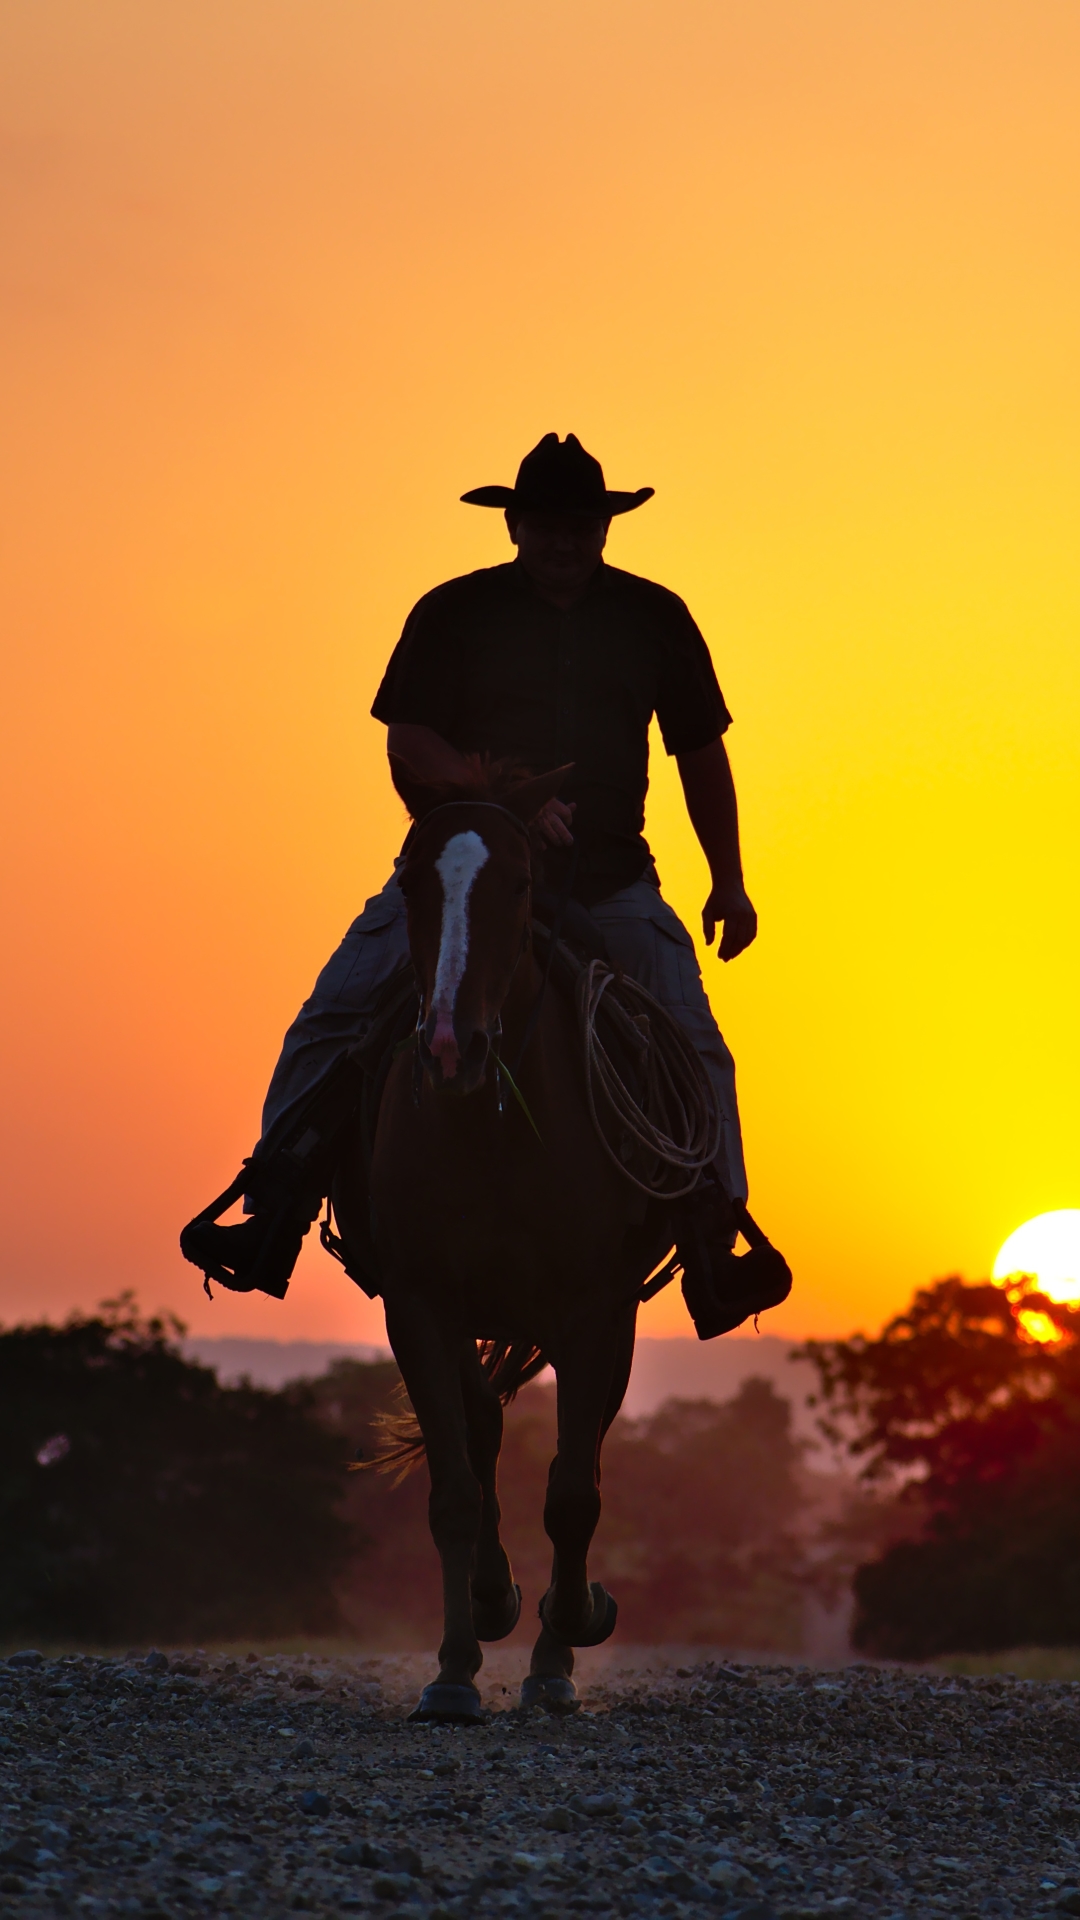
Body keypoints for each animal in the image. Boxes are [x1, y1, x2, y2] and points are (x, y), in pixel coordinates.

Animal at [336, 756, 668, 1720]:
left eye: (518, 883)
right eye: (412, 882)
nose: (453, 1047)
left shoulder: (595, 1312)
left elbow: (572, 1494)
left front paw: (561, 1652)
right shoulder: (418, 1305)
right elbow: (453, 1488)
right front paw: (453, 1670)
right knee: (483, 1430)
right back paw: (491, 1601)